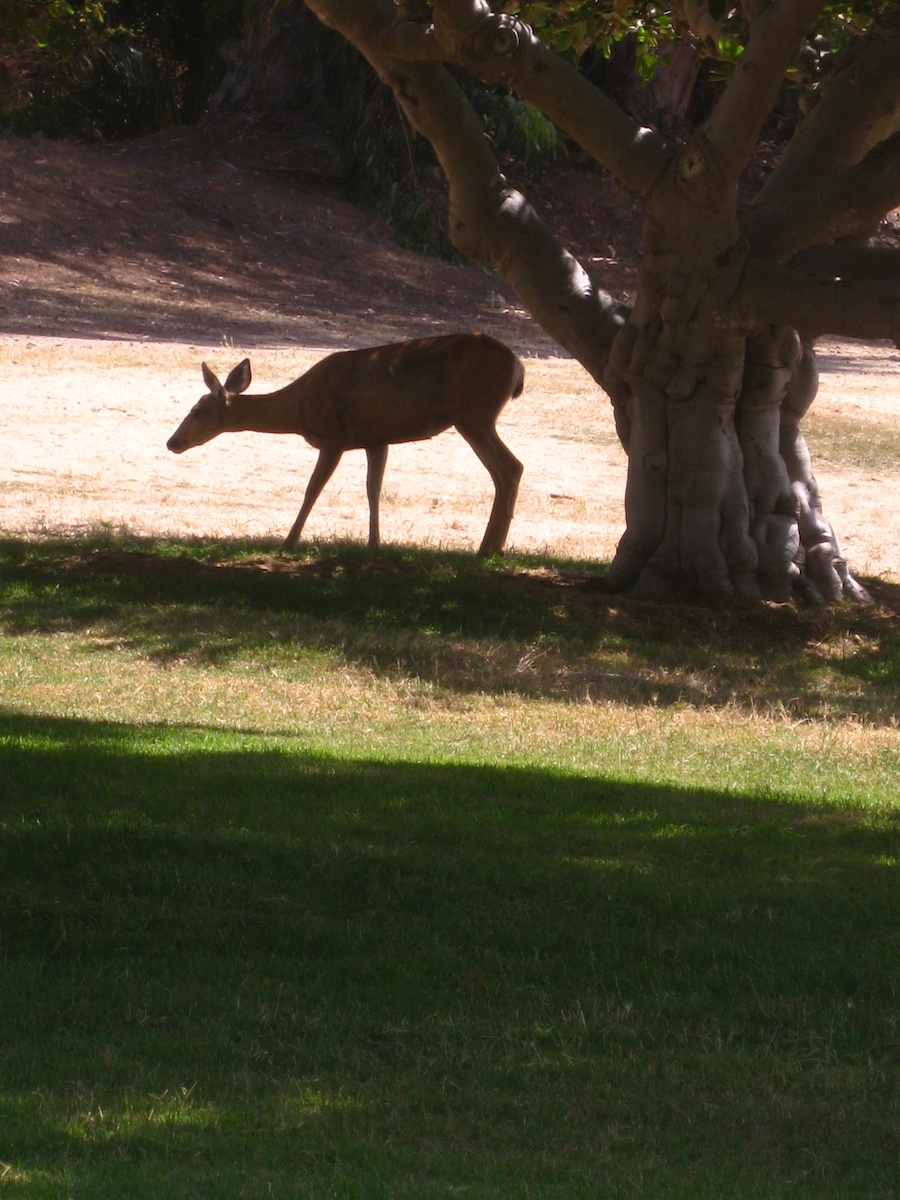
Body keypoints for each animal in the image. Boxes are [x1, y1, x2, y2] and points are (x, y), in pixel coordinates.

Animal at [168, 331, 528, 554]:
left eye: (197, 411)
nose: (172, 442)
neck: (300, 409)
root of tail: (517, 366)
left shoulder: (334, 436)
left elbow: (312, 489)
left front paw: (289, 542)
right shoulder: (376, 438)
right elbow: (373, 490)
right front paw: (374, 544)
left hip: (473, 413)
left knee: (510, 468)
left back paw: (487, 549)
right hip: (474, 416)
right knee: (507, 471)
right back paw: (493, 547)